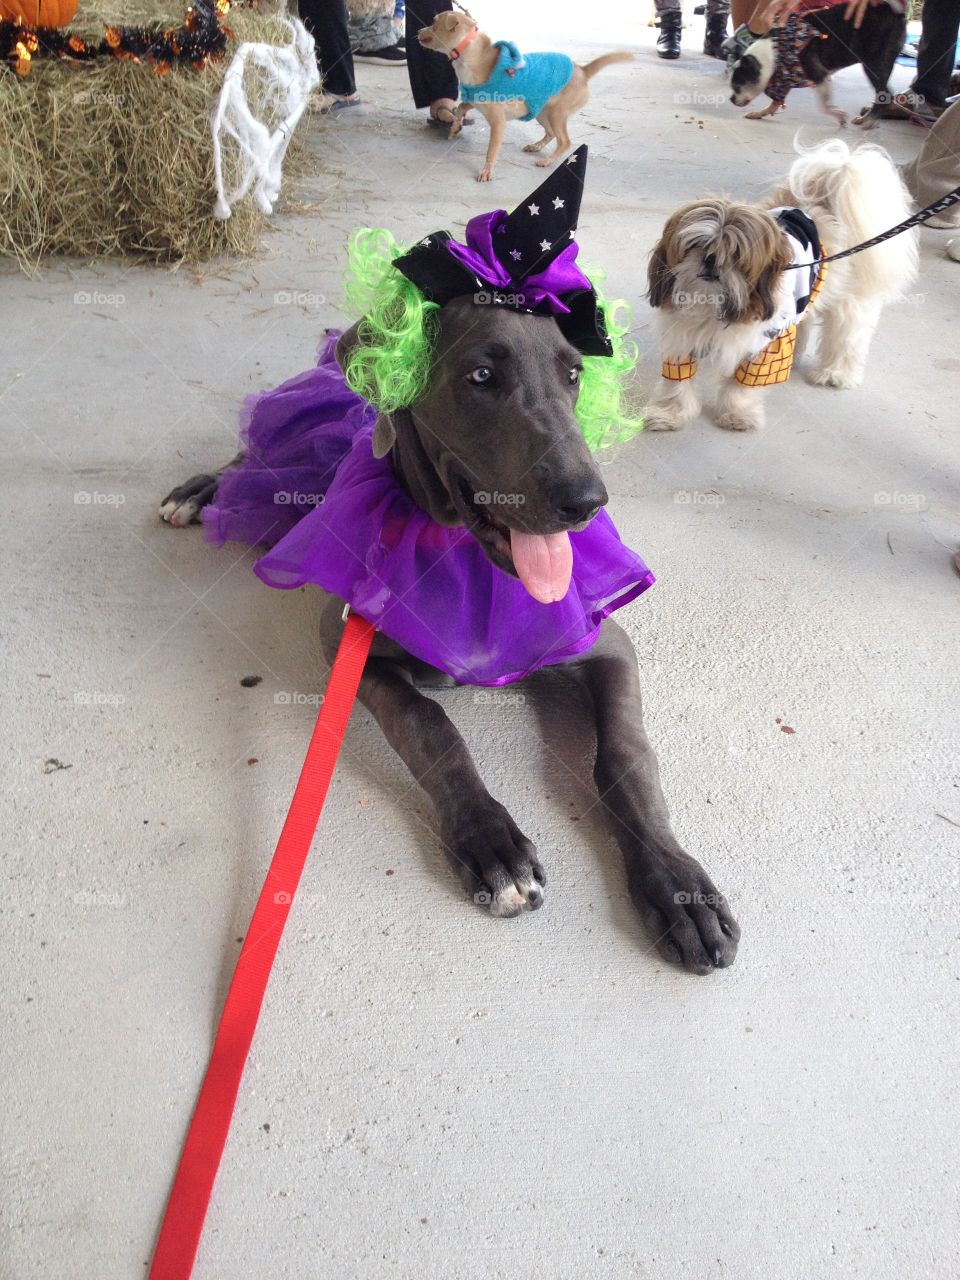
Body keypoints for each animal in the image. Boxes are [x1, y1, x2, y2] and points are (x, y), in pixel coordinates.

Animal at [161, 296, 742, 977]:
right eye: (481, 376)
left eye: (573, 375)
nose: (586, 502)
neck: (459, 552)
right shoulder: (346, 646)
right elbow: (428, 722)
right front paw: (491, 841)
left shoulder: (608, 644)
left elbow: (626, 755)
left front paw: (679, 886)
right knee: (254, 456)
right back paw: (199, 491)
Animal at [642, 138, 921, 432]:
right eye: (696, 244)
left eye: (736, 253)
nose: (710, 259)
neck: (714, 308)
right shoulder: (679, 338)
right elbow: (677, 384)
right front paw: (671, 413)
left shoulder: (766, 344)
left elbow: (742, 386)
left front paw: (736, 413)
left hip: (849, 303)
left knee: (847, 337)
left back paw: (835, 372)